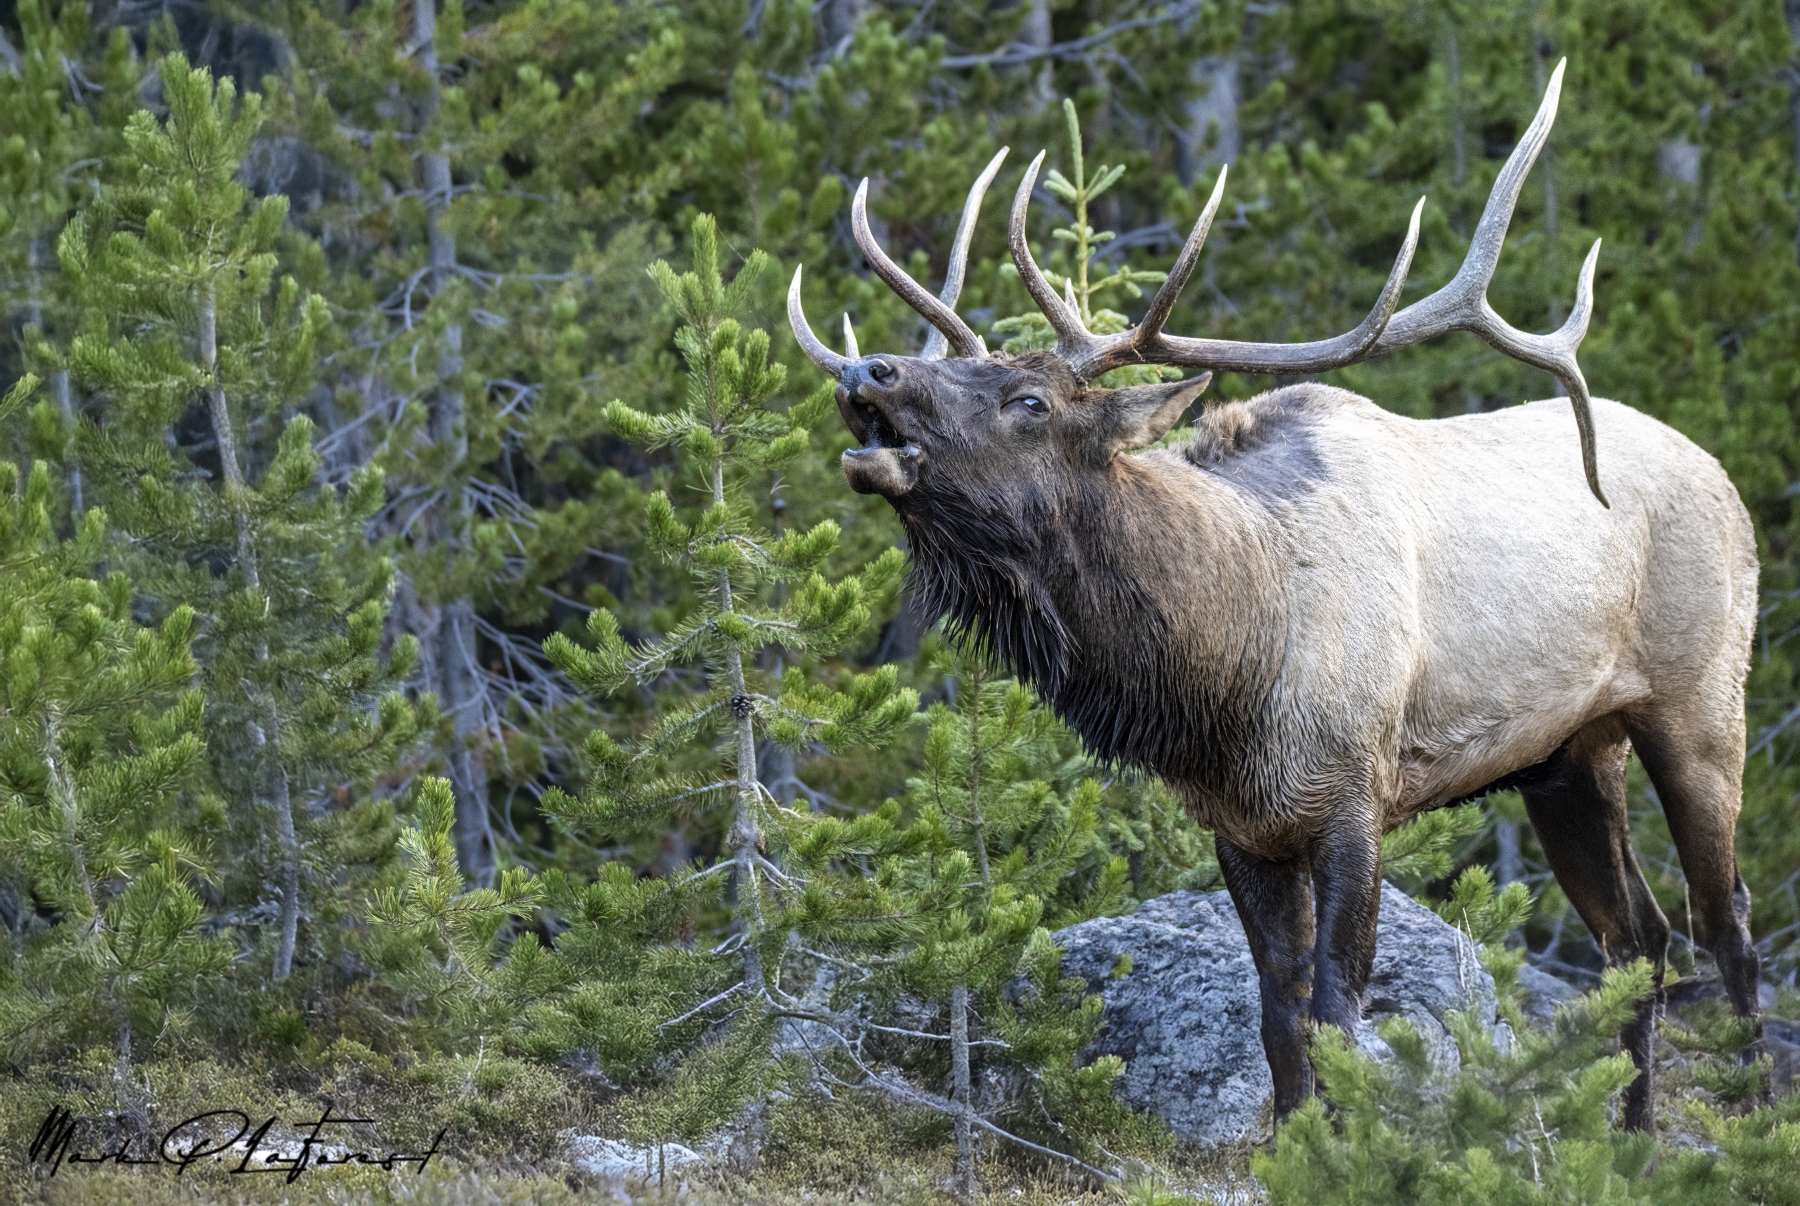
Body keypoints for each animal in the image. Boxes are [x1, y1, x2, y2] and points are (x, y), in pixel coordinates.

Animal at [786, 61, 1763, 1134]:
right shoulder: (1241, 827)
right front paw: (1294, 1140)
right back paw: (1631, 1135)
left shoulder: (1354, 793)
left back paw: (1756, 1110)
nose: (868, 367)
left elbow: (1339, 1010)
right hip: (1566, 754)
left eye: (1029, 401)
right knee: (1640, 937)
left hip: (1702, 699)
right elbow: (1280, 1019)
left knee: (1726, 919)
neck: (1226, 674)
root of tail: (1723, 475)